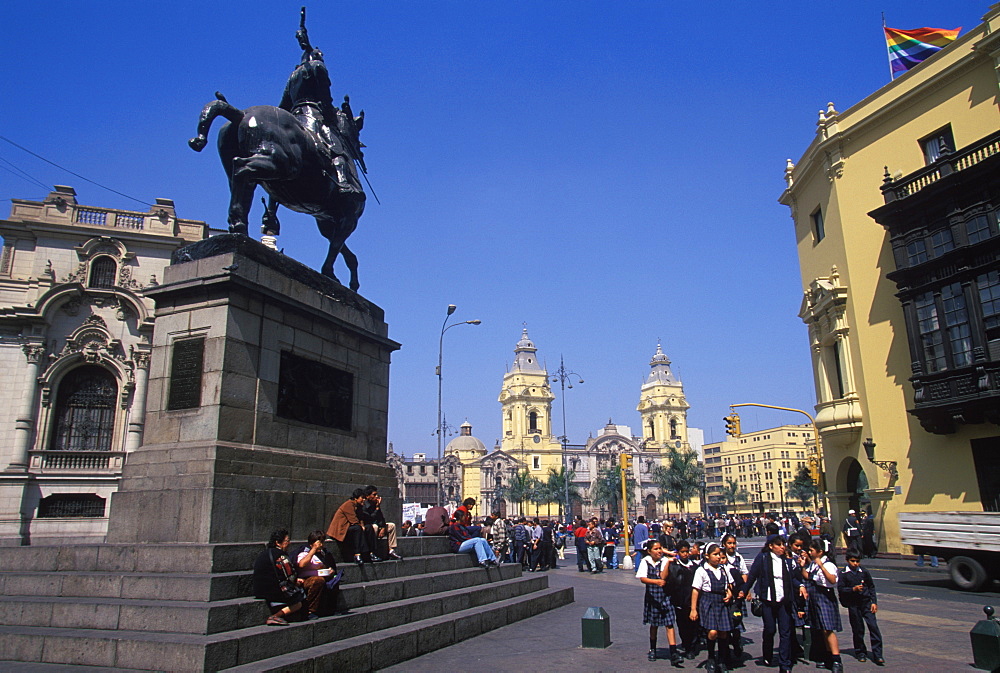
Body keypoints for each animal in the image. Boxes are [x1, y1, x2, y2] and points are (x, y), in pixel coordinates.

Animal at [188, 94, 364, 292]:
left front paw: (345, 280)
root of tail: (242, 114)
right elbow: (336, 245)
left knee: (241, 185)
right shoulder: (349, 217)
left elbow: (344, 250)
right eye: (355, 130)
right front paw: (330, 273)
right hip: (281, 163)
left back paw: (239, 227)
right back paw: (240, 227)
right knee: (241, 168)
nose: (359, 150)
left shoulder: (326, 220)